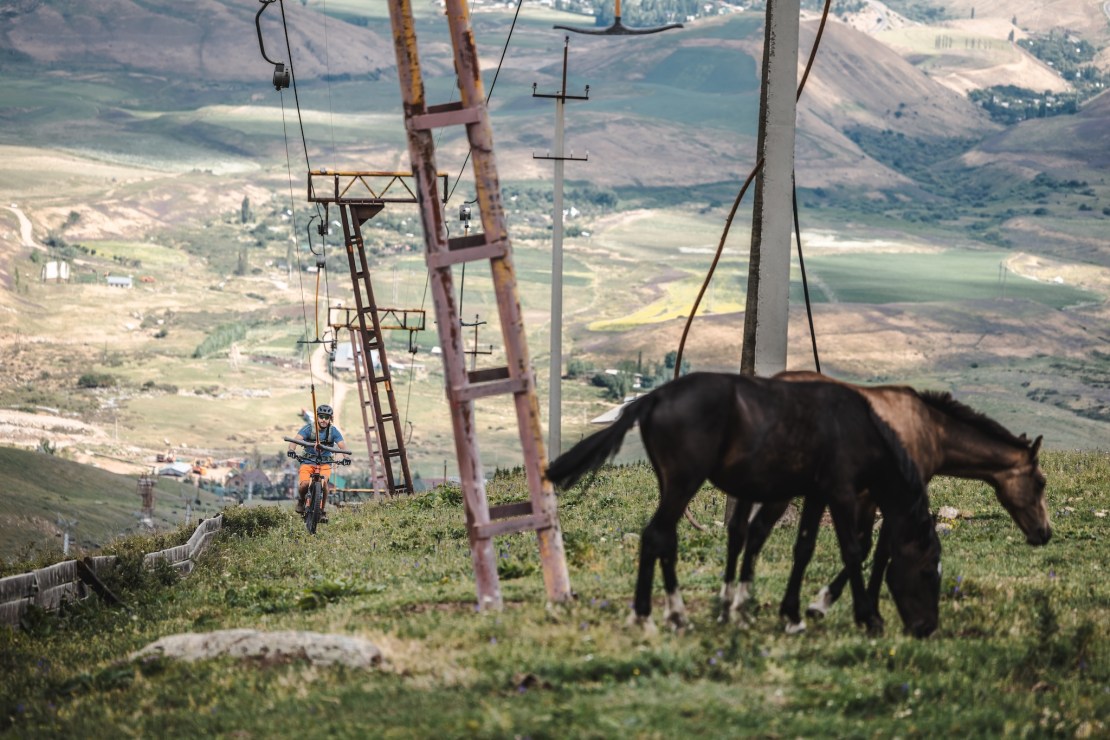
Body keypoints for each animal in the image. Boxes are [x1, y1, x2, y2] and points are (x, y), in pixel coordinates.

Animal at [545, 372, 942, 636]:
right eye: (928, 571)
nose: (926, 628)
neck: (859, 428)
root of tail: (653, 397)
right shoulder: (841, 492)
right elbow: (852, 550)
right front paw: (867, 617)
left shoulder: (817, 493)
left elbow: (805, 547)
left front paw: (792, 614)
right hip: (685, 482)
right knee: (656, 535)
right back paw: (649, 615)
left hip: (672, 484)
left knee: (665, 539)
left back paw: (675, 614)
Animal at [722, 370, 1050, 632]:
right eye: (1041, 482)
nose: (1045, 533)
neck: (930, 430)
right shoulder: (882, 495)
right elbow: (877, 551)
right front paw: (843, 606)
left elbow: (867, 547)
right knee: (757, 531)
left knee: (750, 531)